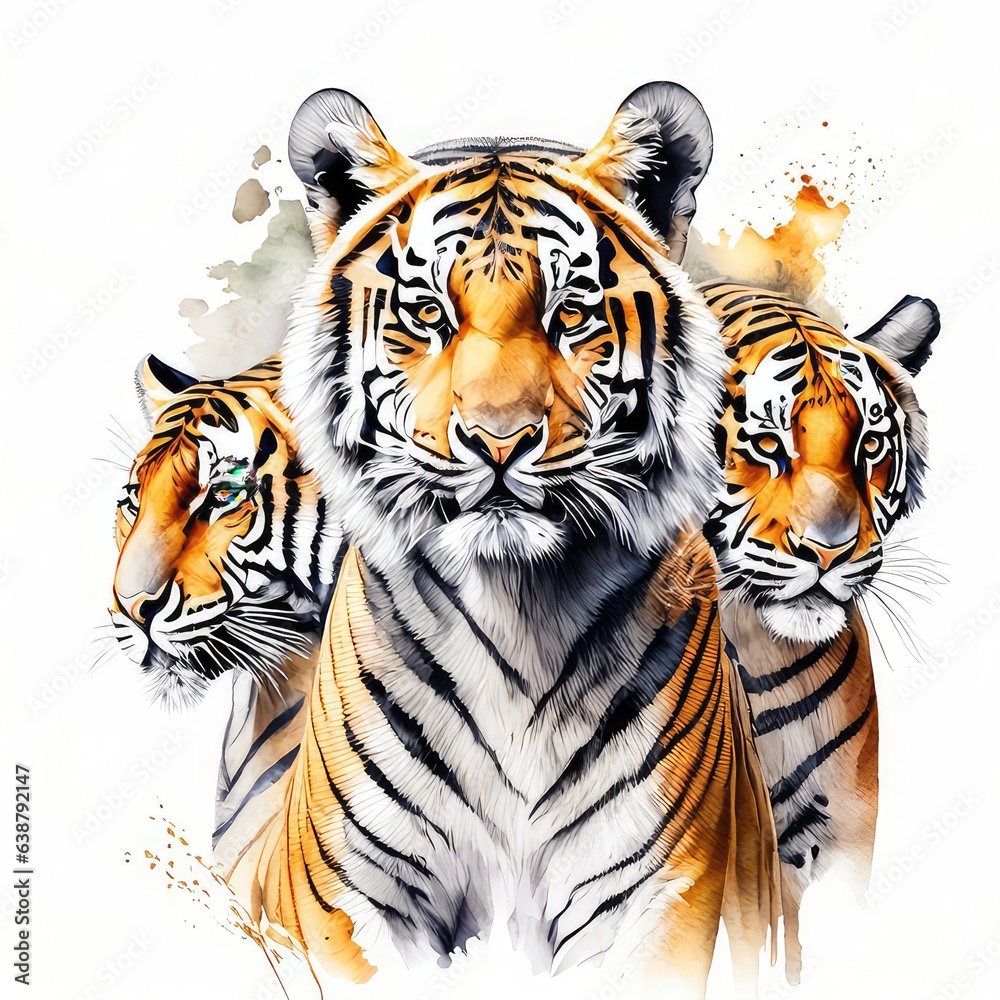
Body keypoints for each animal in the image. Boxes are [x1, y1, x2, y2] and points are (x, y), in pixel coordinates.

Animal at [212, 81, 782, 998]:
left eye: (571, 314)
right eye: (427, 315)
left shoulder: (659, 891)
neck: (516, 609)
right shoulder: (350, 898)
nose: (498, 438)